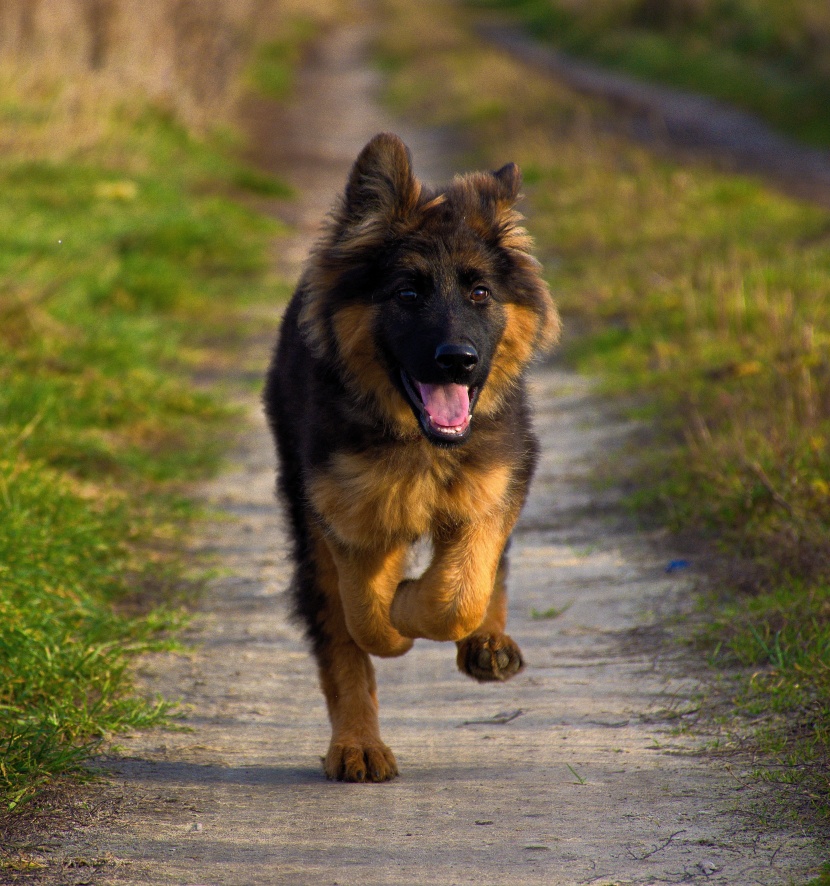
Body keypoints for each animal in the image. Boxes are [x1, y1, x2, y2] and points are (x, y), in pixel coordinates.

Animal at [266, 132, 564, 784]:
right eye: (408, 293)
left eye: (480, 292)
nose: (459, 361)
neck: (422, 447)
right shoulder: (345, 517)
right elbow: (364, 623)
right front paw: (397, 614)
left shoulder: (494, 485)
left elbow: (461, 591)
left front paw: (419, 605)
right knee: (339, 636)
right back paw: (357, 745)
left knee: (492, 569)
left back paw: (488, 643)